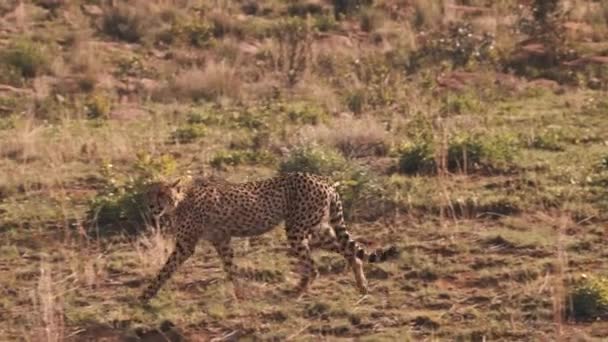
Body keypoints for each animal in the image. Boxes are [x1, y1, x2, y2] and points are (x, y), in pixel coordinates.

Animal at [141, 172, 400, 300]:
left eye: (161, 194)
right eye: (149, 193)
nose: (151, 206)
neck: (180, 201)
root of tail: (323, 179)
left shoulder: (186, 245)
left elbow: (165, 269)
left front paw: (145, 295)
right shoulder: (221, 240)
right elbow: (230, 267)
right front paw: (240, 293)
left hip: (297, 230)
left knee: (313, 266)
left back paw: (297, 293)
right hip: (317, 229)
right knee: (348, 251)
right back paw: (362, 286)